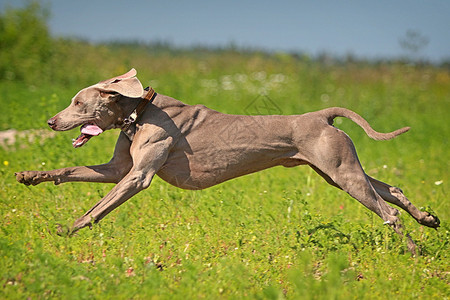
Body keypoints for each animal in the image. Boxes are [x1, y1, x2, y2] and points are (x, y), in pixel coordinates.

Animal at [15, 68, 438, 253]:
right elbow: (70, 171)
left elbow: (97, 209)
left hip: (342, 172)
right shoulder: (117, 169)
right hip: (336, 171)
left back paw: (413, 250)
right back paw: (428, 219)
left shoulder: (137, 177)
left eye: (78, 103)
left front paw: (66, 230)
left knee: (388, 211)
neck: (139, 112)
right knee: (391, 189)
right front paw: (31, 175)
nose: (50, 122)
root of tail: (322, 115)